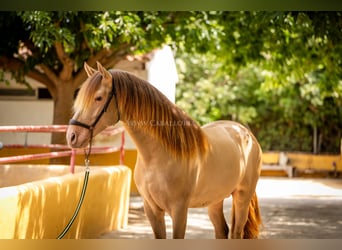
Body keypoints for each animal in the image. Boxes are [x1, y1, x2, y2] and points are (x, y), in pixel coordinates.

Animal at [67, 61, 264, 239]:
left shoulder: (179, 210)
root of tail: (244, 132)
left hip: (242, 197)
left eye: (98, 98)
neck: (158, 157)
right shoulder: (152, 209)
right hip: (215, 200)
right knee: (221, 231)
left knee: (236, 232)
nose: (72, 136)